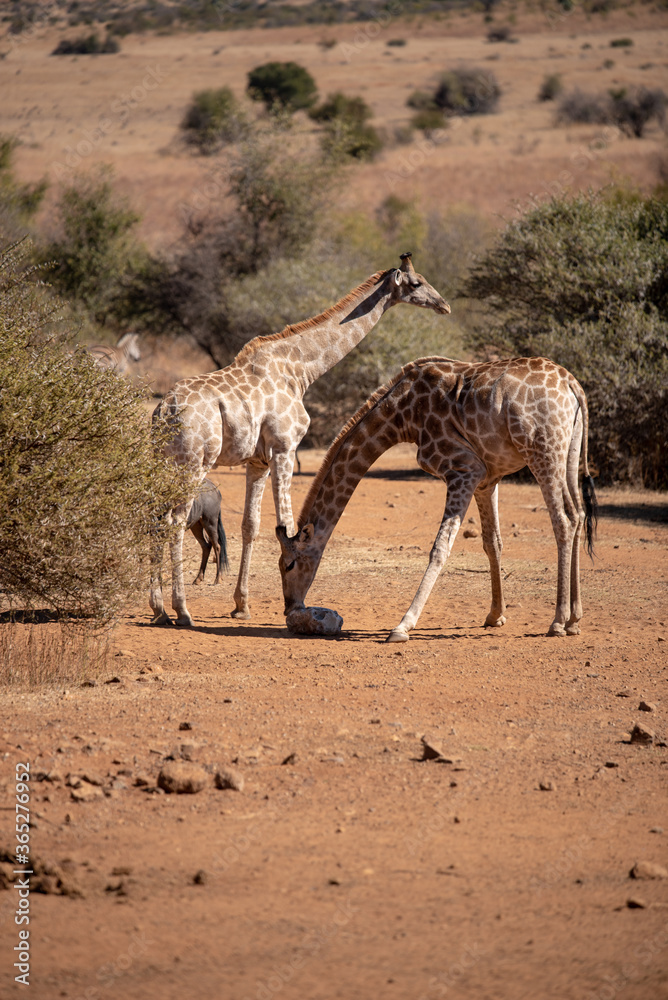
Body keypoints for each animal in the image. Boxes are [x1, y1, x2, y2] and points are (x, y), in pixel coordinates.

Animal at [149, 254, 450, 626]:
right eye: (417, 283)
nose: (444, 305)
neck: (301, 371)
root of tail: (165, 410)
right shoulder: (285, 447)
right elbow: (287, 523)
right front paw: (293, 604)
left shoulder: (257, 460)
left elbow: (251, 525)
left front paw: (242, 605)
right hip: (195, 463)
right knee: (175, 520)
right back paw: (181, 610)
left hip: (164, 461)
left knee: (156, 518)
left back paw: (159, 609)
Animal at [276, 355, 598, 640]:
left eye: (288, 564)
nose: (289, 609)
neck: (402, 415)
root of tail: (574, 386)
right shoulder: (487, 478)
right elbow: (492, 542)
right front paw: (496, 616)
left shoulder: (464, 469)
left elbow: (439, 548)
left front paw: (402, 626)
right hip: (568, 452)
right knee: (578, 514)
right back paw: (575, 619)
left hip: (542, 451)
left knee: (563, 521)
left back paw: (557, 622)